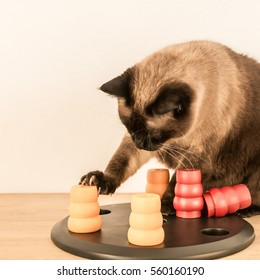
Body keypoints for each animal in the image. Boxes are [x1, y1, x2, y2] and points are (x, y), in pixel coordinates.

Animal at [80, 41, 260, 217]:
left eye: (153, 133)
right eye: (129, 127)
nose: (139, 143)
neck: (176, 139)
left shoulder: (196, 155)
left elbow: (176, 184)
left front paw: (165, 206)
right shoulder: (133, 147)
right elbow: (120, 162)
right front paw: (99, 181)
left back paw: (246, 209)